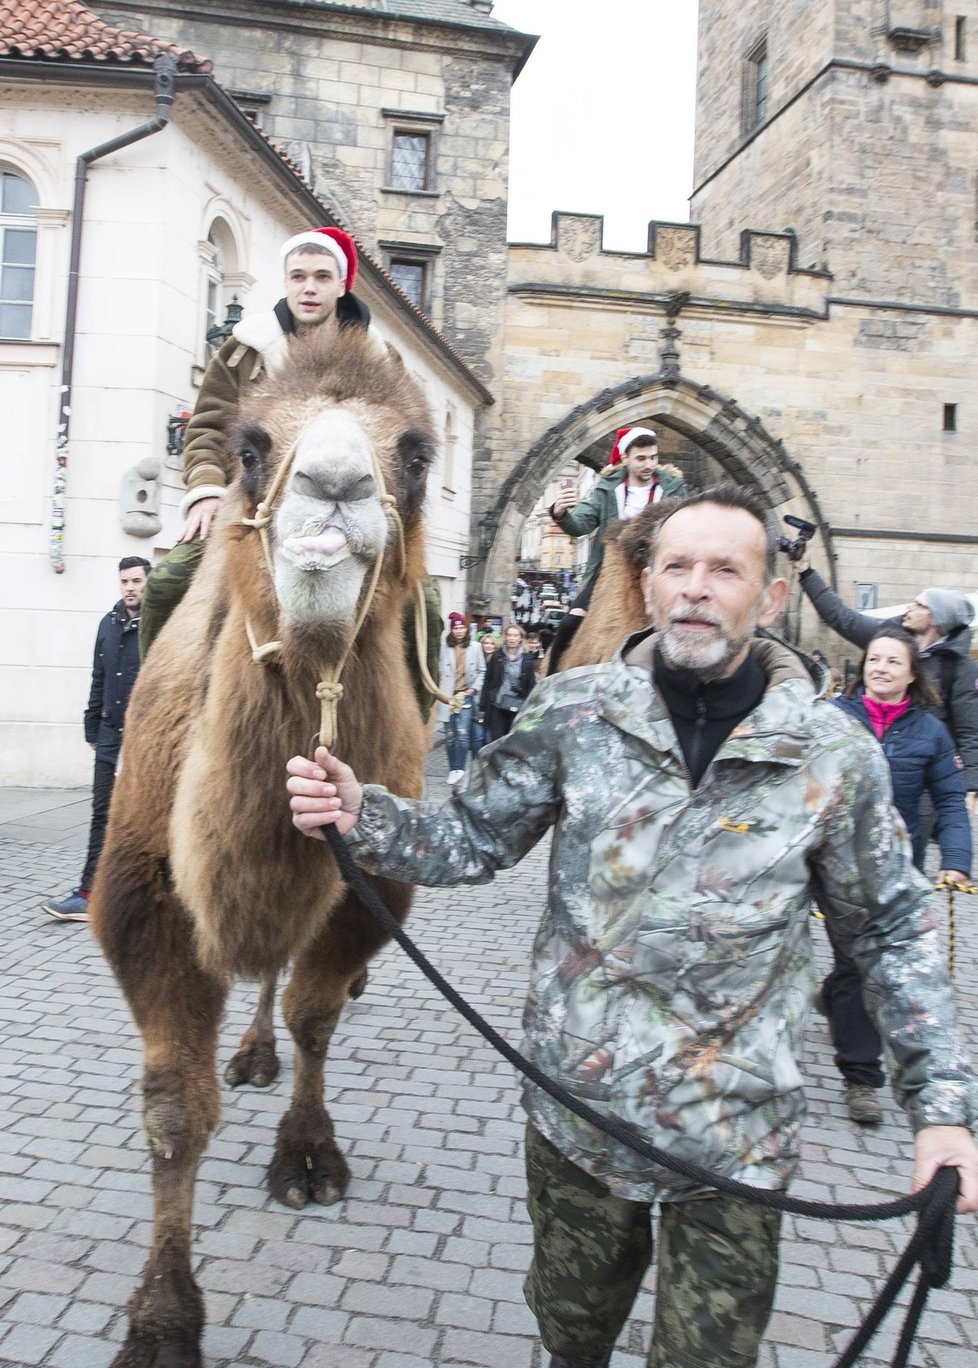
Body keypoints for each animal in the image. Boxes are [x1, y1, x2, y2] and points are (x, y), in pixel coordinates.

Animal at [90, 331, 434, 1368]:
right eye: (249, 448)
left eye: (417, 453)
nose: (333, 485)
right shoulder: (147, 902)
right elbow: (173, 1113)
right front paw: (163, 1322)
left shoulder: (371, 891)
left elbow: (316, 1014)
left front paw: (309, 1155)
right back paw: (247, 1053)